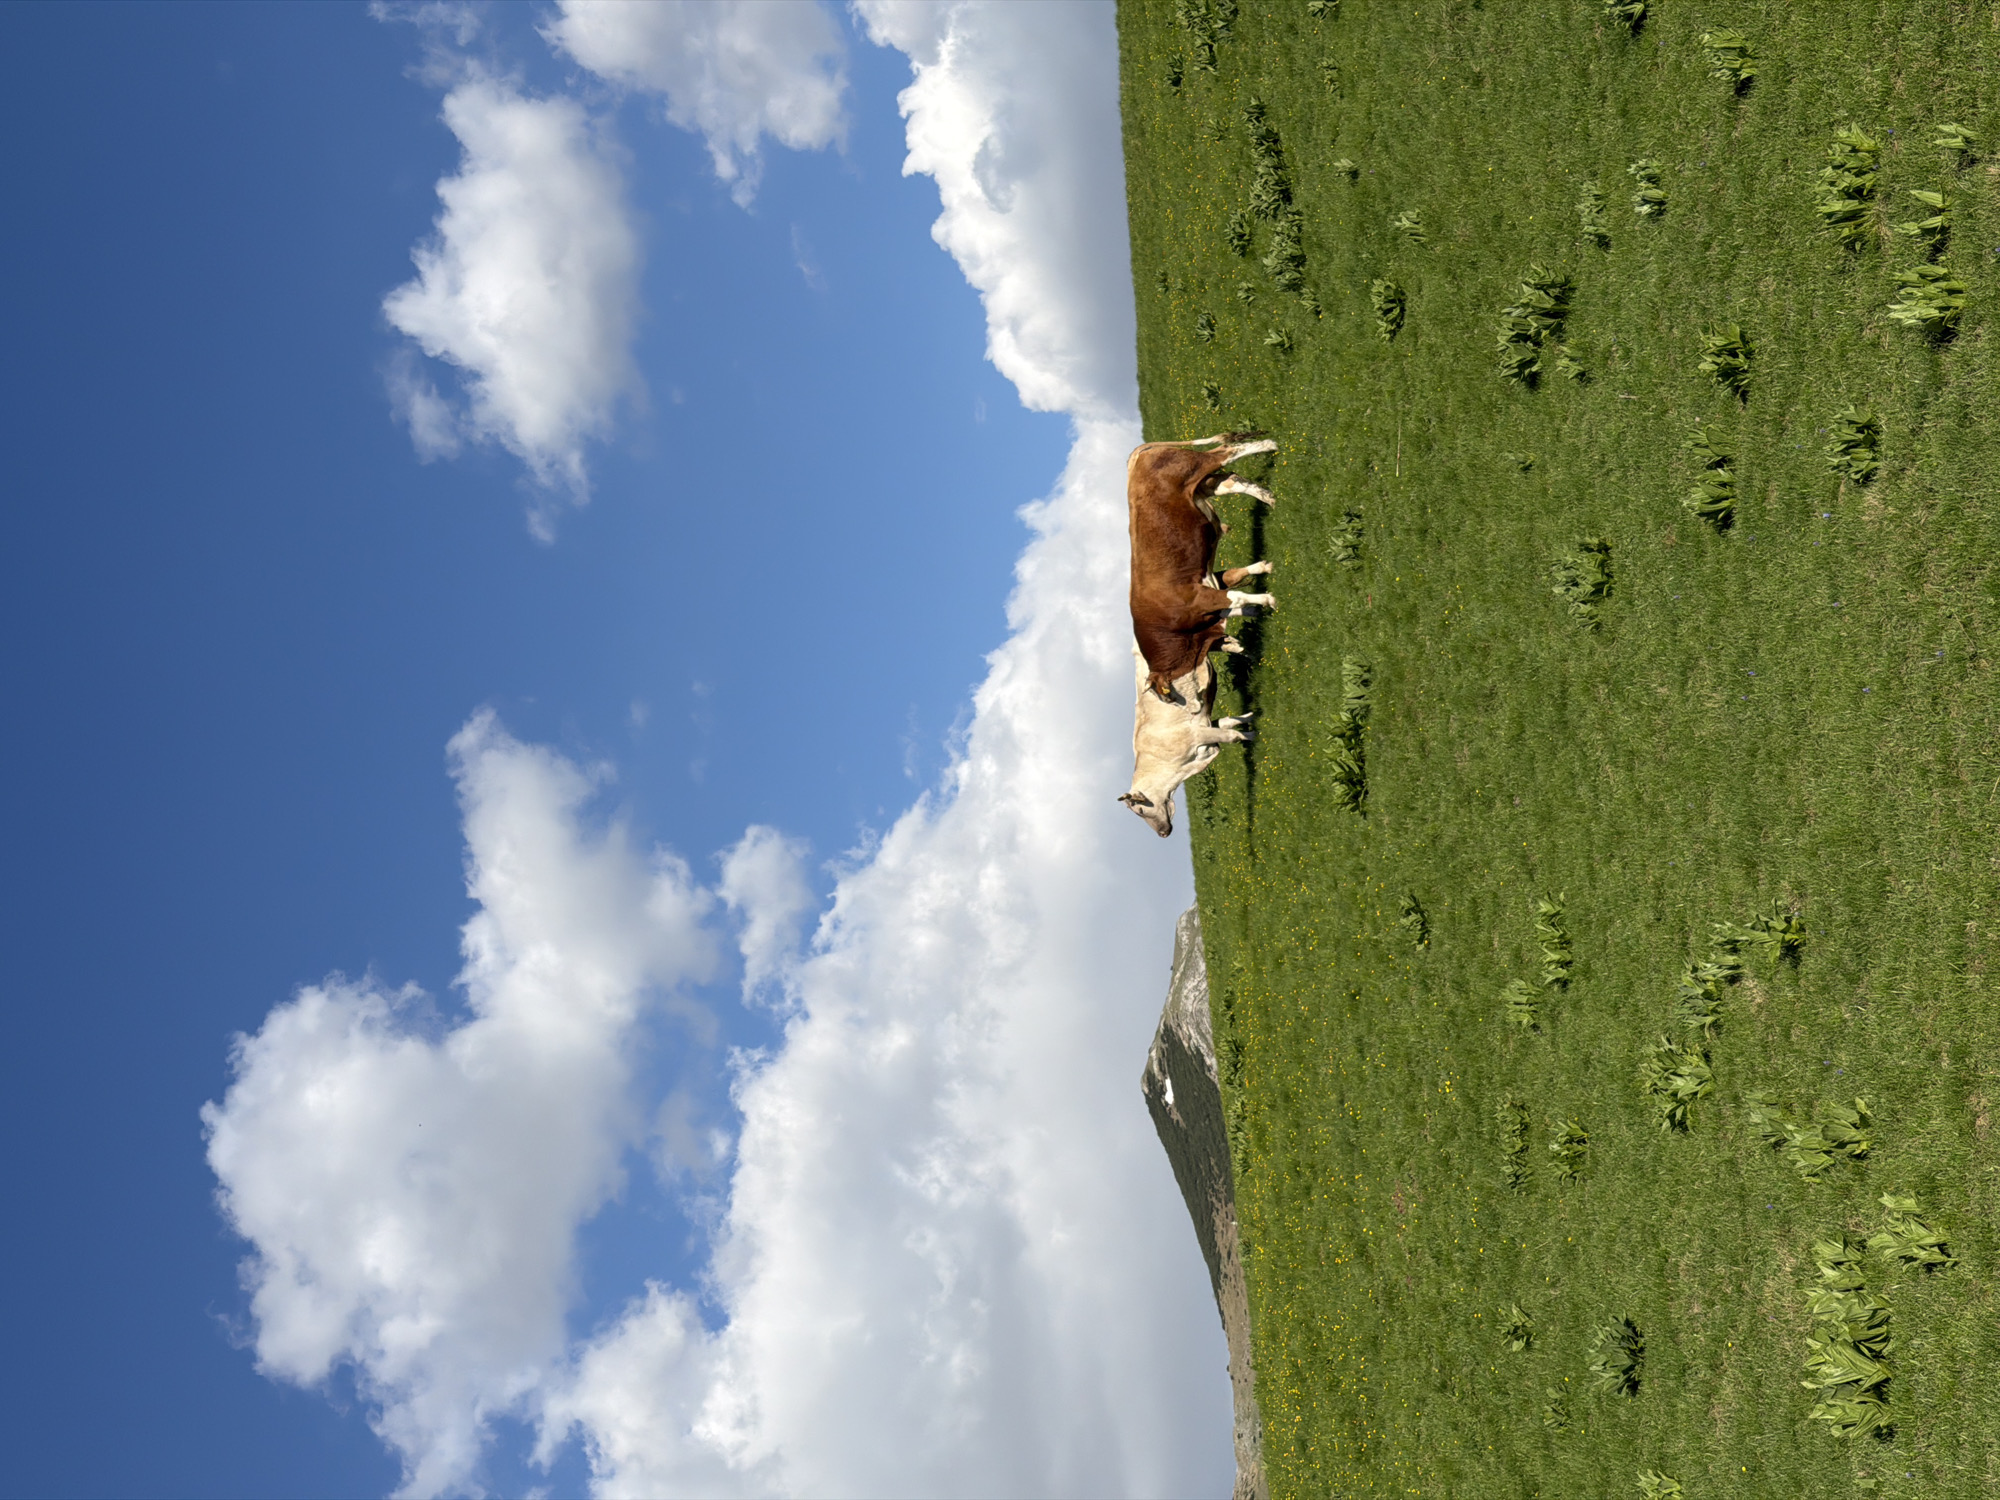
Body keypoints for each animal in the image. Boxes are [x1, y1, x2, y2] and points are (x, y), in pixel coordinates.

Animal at [1119, 646, 1254, 838]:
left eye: (1140, 810)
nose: (1162, 834)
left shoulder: (1196, 734)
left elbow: (1232, 735)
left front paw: (1255, 735)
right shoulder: (1204, 728)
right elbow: (1229, 723)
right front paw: (1252, 719)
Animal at [1128, 433, 1278, 702]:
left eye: (1168, 698)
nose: (1202, 702)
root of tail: (1139, 455)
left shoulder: (1200, 598)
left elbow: (1236, 597)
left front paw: (1268, 600)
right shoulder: (1209, 590)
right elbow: (1235, 592)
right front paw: (1263, 575)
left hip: (1194, 466)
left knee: (1227, 451)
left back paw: (1269, 445)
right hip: (1200, 486)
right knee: (1230, 481)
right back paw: (1269, 497)